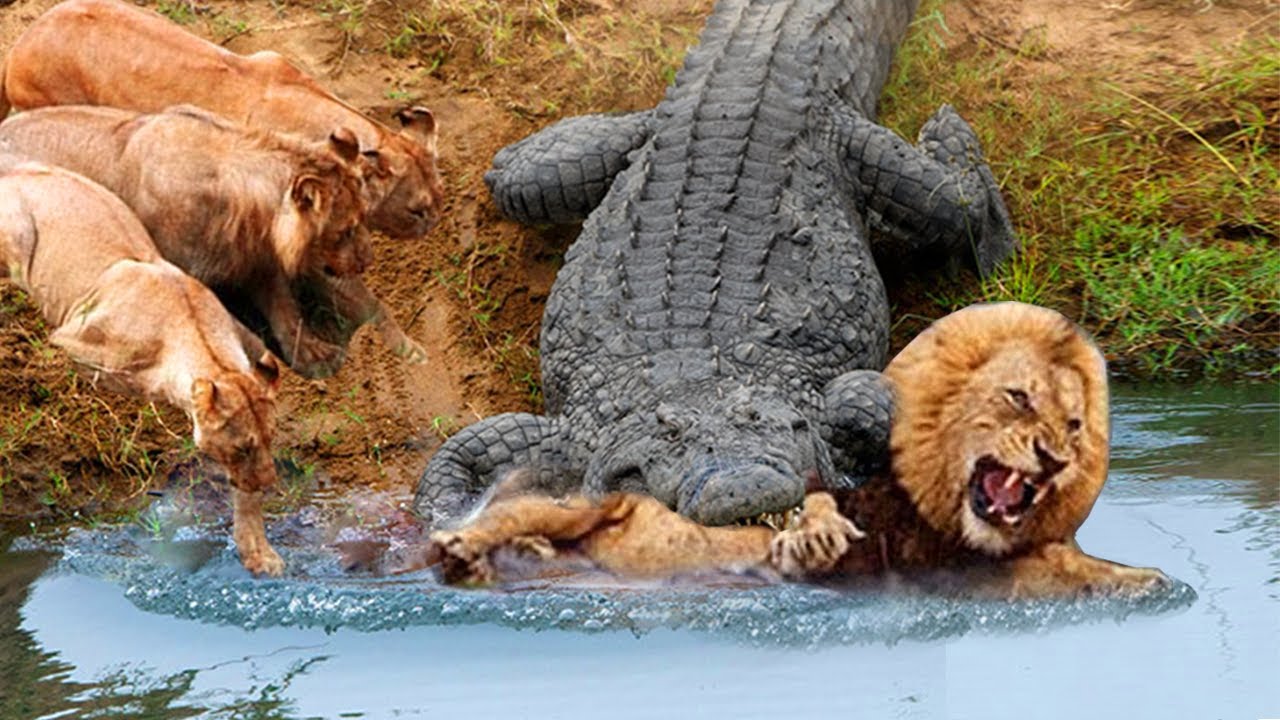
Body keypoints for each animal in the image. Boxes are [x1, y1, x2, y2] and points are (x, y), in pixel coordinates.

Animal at [0, 104, 374, 378]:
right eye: (346, 230)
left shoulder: (256, 261)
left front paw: (313, 355)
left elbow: (286, 311)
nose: (366, 261)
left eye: (364, 216)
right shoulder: (179, 269)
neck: (247, 214)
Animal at [0, 157, 285, 576]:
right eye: (243, 447)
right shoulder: (69, 343)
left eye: (269, 440)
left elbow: (241, 493)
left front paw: (260, 553)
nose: (269, 482)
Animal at [423, 303, 1171, 599]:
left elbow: (872, 404)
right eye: (669, 433)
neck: (687, 371)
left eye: (761, 420)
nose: (745, 486)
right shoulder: (570, 433)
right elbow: (455, 459)